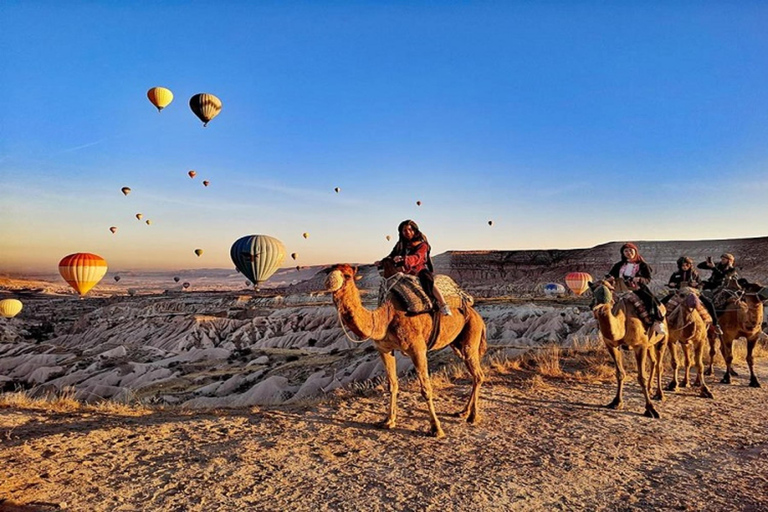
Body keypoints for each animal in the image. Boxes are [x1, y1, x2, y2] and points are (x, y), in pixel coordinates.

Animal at [324, 264, 486, 436]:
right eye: (329, 271)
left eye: (348, 275)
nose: (329, 283)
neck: (386, 317)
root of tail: (477, 315)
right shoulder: (384, 349)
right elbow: (392, 384)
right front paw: (388, 421)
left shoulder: (417, 349)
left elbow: (426, 389)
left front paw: (436, 428)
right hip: (457, 344)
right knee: (473, 373)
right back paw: (463, 412)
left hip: (471, 334)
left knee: (478, 374)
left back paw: (473, 416)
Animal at [588, 280, 664, 420]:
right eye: (592, 290)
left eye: (611, 289)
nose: (596, 305)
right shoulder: (612, 345)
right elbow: (620, 374)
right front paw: (616, 402)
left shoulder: (640, 345)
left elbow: (641, 378)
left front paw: (651, 409)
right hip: (650, 345)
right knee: (653, 362)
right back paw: (651, 389)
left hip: (662, 340)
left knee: (659, 365)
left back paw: (660, 394)